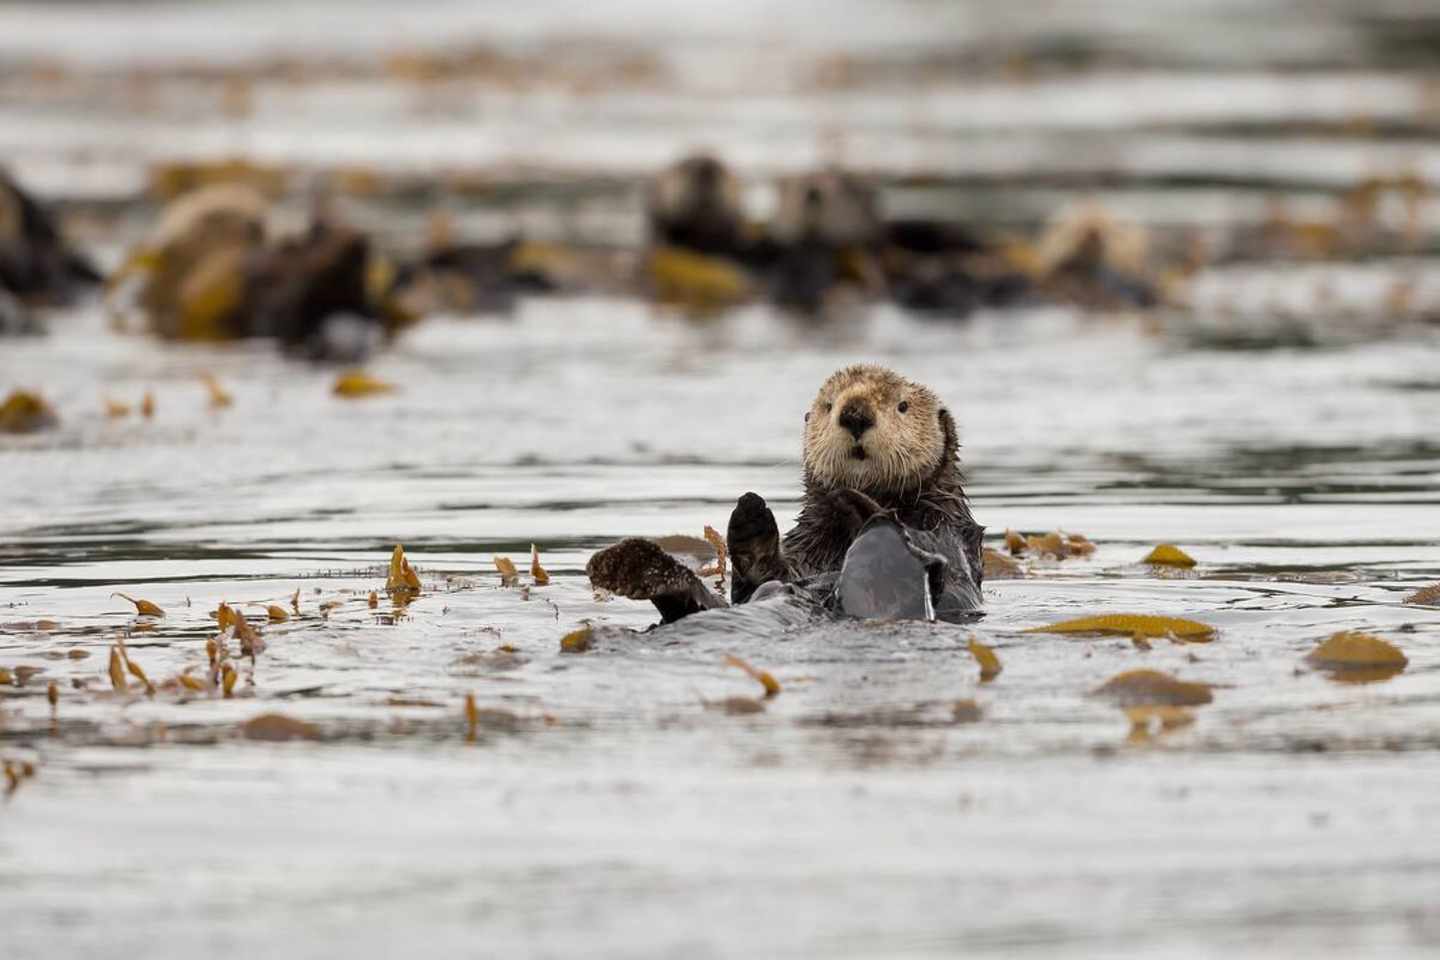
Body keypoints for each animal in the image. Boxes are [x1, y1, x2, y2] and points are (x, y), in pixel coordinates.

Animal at [587, 364, 984, 625]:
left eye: (902, 406)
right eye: (829, 406)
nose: (855, 414)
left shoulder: (950, 532)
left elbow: (953, 574)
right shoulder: (803, 551)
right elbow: (760, 576)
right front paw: (749, 518)